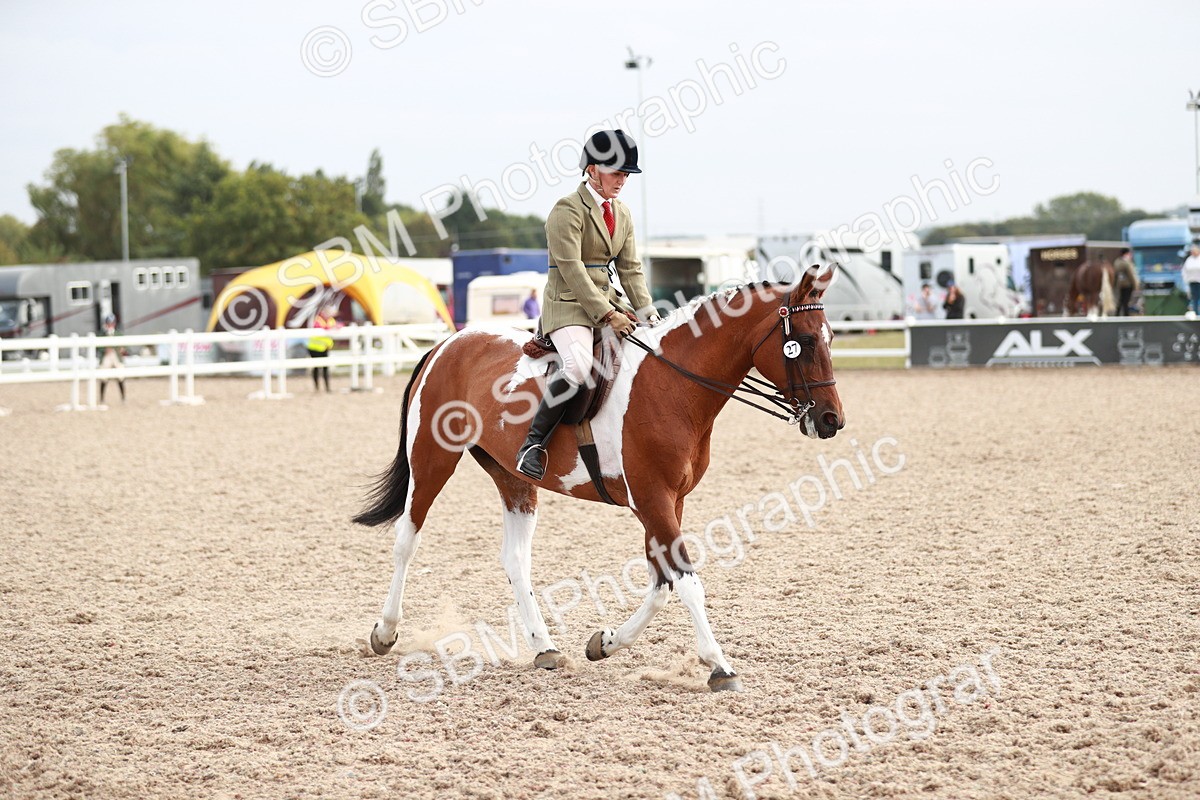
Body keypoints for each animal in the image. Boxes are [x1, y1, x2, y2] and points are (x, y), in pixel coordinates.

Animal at [353, 266, 844, 691]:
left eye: (830, 337)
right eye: (802, 341)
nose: (831, 420)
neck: (672, 384)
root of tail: (448, 343)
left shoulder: (668, 502)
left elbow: (662, 584)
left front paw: (605, 643)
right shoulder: (652, 499)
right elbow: (687, 583)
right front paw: (720, 666)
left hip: (512, 478)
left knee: (515, 558)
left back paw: (544, 647)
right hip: (432, 458)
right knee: (407, 540)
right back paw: (385, 632)